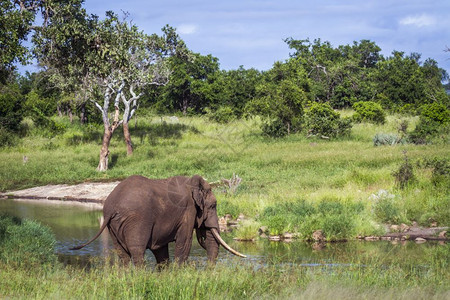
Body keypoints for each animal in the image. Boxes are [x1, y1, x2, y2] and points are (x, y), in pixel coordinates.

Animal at [71, 175, 246, 266]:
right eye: (213, 206)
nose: (209, 271)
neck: (192, 183)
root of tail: (111, 206)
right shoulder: (187, 212)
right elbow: (184, 242)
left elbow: (161, 249)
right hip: (136, 220)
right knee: (137, 251)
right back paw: (140, 277)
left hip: (113, 226)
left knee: (122, 254)